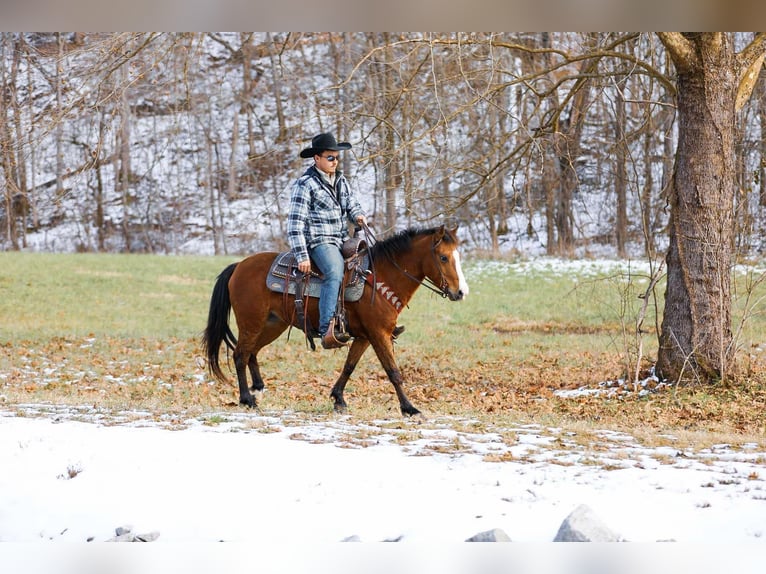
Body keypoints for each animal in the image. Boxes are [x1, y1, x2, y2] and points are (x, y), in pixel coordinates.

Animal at [202, 225, 469, 416]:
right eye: (443, 258)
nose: (461, 292)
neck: (379, 278)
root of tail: (239, 266)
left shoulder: (364, 336)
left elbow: (349, 366)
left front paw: (338, 398)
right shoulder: (379, 334)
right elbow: (393, 371)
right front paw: (409, 408)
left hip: (272, 324)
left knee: (251, 353)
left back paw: (257, 389)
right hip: (251, 323)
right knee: (240, 355)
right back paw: (247, 399)